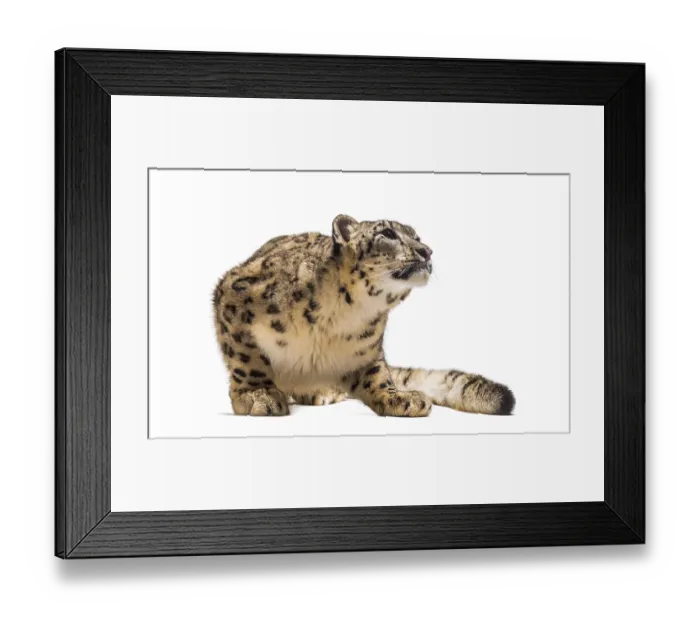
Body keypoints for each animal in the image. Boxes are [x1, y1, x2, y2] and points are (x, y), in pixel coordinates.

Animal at [213, 215, 515, 418]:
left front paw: (400, 399)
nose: (426, 251)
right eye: (388, 233)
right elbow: (248, 358)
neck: (344, 314)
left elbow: (377, 375)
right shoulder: (233, 295)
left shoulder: (366, 348)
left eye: (417, 237)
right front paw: (258, 395)